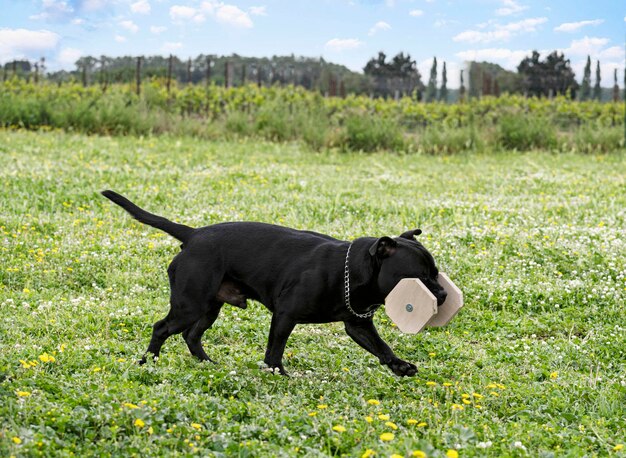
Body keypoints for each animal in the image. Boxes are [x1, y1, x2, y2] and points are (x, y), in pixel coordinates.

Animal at [101, 190, 444, 376]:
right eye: (420, 277)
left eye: (436, 274)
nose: (441, 294)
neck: (353, 272)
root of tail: (194, 234)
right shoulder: (285, 315)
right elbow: (275, 349)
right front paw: (277, 373)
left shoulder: (358, 324)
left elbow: (382, 347)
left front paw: (400, 366)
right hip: (190, 303)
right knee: (162, 328)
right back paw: (150, 361)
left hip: (210, 306)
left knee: (192, 335)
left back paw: (207, 362)